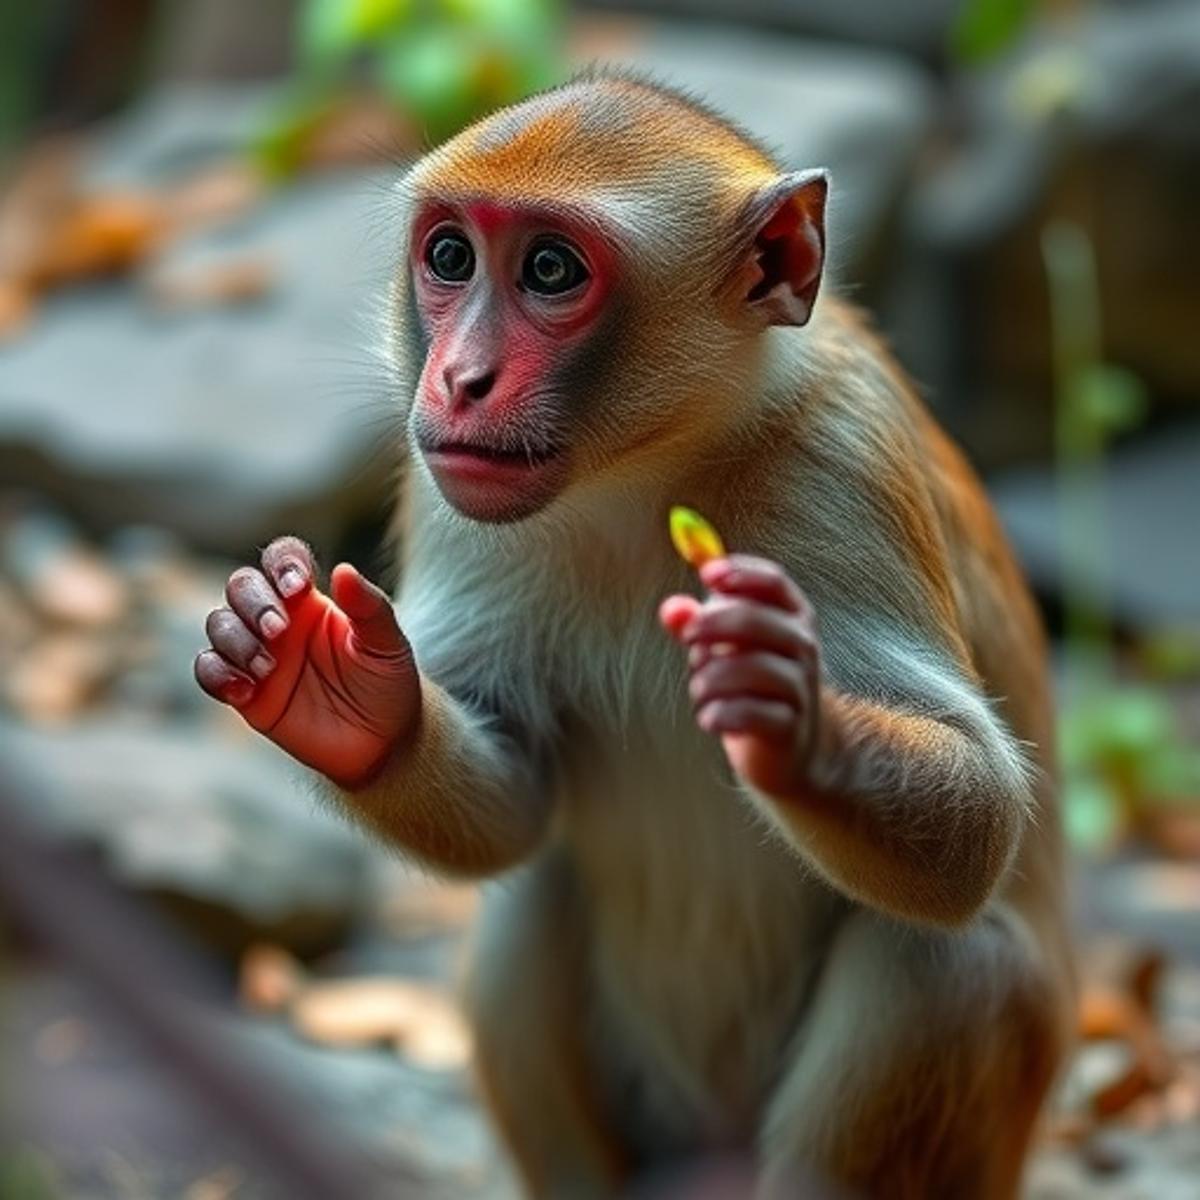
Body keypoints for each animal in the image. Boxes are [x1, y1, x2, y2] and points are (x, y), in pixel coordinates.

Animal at [195, 71, 1074, 1199]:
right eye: (450, 258)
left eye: (550, 270)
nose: (459, 380)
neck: (647, 473)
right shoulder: (445, 489)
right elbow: (516, 802)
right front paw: (335, 692)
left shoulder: (847, 471)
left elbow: (979, 823)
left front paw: (794, 720)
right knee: (528, 903)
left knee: (947, 965)